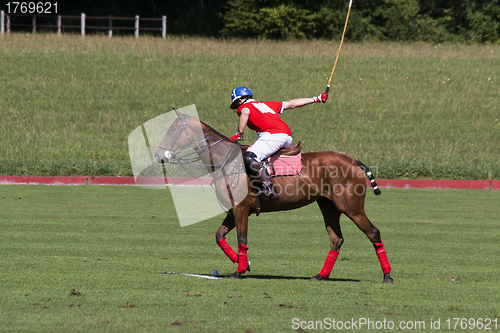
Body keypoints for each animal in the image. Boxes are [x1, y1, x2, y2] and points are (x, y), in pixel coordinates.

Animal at [154, 110, 392, 282]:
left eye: (173, 129)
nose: (158, 155)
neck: (226, 161)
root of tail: (353, 161)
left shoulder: (241, 208)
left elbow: (242, 239)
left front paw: (239, 271)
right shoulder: (233, 210)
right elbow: (219, 236)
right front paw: (244, 264)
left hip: (351, 207)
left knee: (373, 232)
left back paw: (387, 276)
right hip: (328, 206)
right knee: (336, 239)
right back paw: (320, 275)